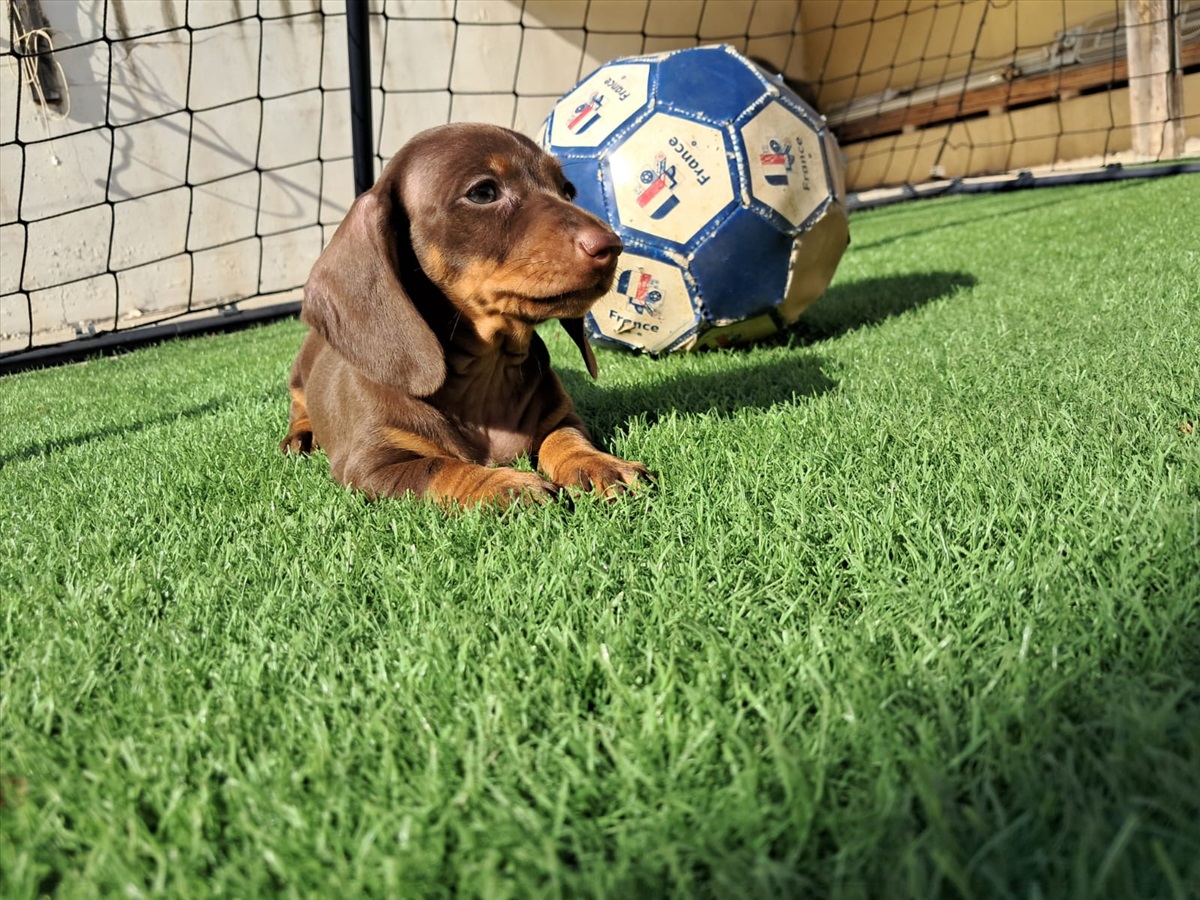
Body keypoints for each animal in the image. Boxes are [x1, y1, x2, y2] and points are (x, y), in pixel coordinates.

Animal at [279, 124, 648, 511]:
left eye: (567, 190)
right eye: (483, 193)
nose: (613, 246)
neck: (486, 373)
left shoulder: (561, 415)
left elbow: (566, 438)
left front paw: (598, 463)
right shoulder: (373, 464)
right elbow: (439, 467)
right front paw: (504, 485)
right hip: (299, 376)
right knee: (298, 406)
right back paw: (300, 437)